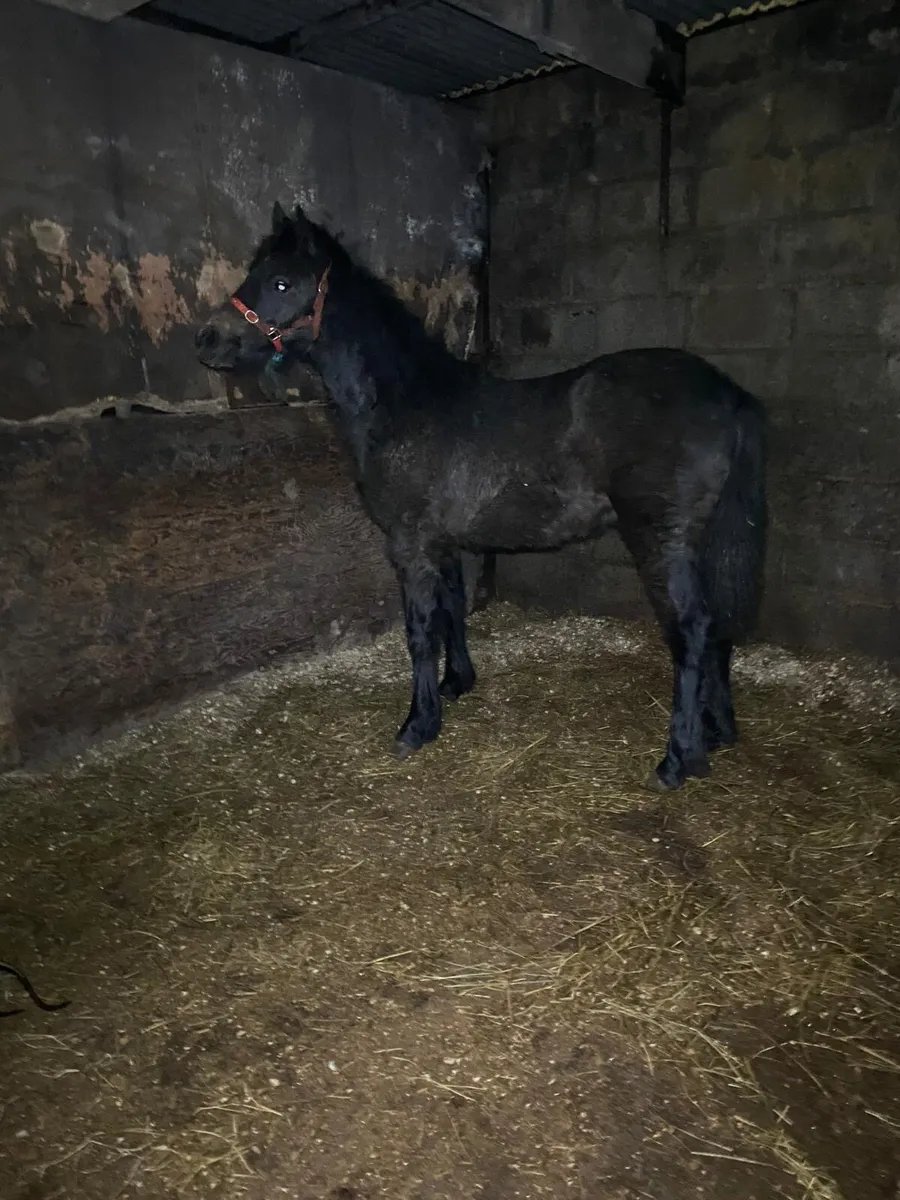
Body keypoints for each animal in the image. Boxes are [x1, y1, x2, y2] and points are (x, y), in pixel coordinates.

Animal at [195, 202, 767, 791]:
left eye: (282, 282)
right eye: (253, 272)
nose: (208, 339)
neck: (406, 403)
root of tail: (728, 393)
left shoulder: (410, 545)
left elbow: (420, 630)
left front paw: (417, 725)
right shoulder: (443, 542)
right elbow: (453, 607)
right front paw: (456, 684)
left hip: (661, 541)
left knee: (691, 630)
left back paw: (676, 760)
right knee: (716, 626)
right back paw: (715, 732)